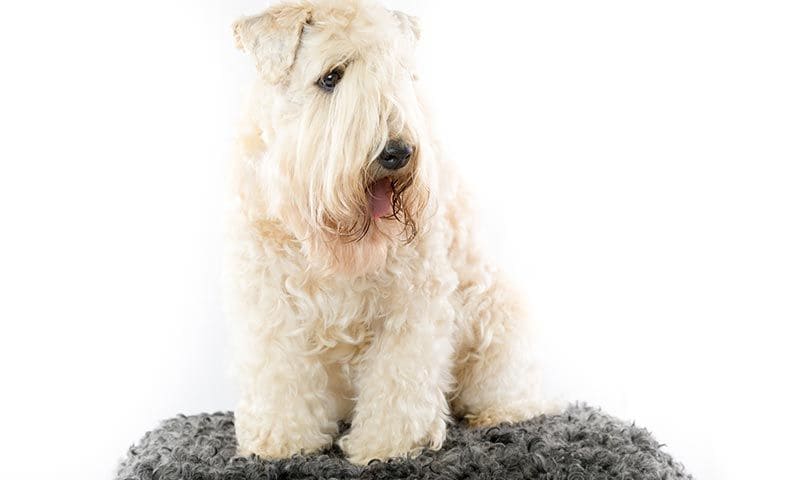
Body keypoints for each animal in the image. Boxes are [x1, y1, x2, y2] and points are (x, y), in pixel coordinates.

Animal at [225, 0, 552, 464]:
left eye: (398, 72)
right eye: (331, 76)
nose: (397, 152)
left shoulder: (411, 301)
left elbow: (399, 378)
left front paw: (386, 446)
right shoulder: (269, 299)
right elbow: (279, 372)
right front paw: (283, 441)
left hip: (499, 312)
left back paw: (497, 414)